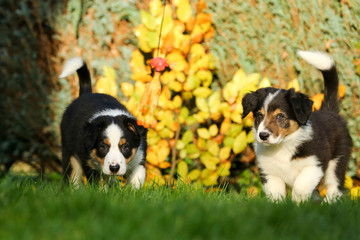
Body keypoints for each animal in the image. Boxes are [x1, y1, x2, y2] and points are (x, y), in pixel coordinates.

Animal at [59, 57, 147, 188]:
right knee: (73, 177)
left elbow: (136, 180)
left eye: (125, 147)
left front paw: (132, 191)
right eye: (103, 147)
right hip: (69, 153)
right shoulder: (89, 164)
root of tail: (86, 93)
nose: (114, 168)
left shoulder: (139, 158)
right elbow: (100, 184)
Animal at [242, 50, 352, 202]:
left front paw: (298, 204)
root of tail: (329, 111)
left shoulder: (314, 165)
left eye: (280, 116)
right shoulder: (270, 173)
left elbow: (300, 186)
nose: (263, 135)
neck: (282, 146)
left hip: (337, 161)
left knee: (334, 186)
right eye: (259, 115)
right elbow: (275, 195)